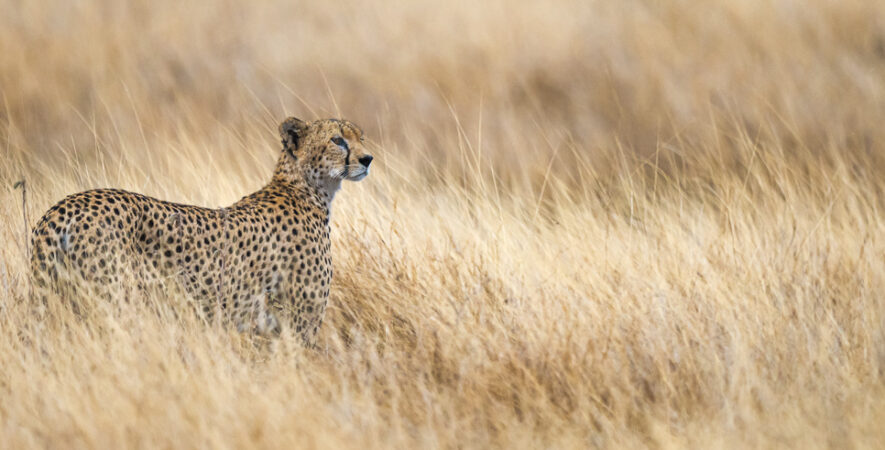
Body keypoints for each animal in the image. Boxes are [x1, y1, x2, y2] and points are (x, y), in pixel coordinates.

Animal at [29, 117, 372, 344]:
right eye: (338, 140)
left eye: (362, 137)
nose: (368, 158)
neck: (307, 189)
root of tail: (65, 205)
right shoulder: (297, 325)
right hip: (115, 301)